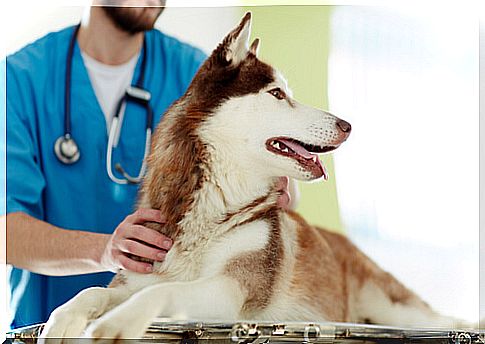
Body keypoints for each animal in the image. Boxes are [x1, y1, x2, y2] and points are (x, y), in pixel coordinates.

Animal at [40, 12, 466, 340]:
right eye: (277, 94)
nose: (347, 126)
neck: (216, 199)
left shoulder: (231, 289)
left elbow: (164, 293)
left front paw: (119, 323)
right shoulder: (136, 276)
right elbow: (92, 291)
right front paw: (61, 320)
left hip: (396, 308)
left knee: (443, 318)